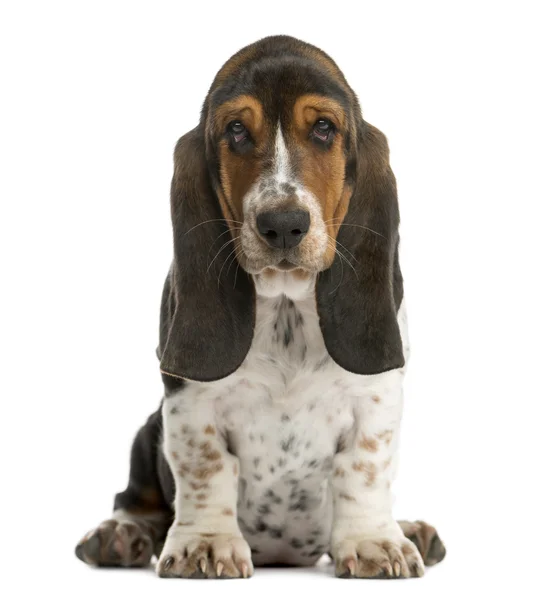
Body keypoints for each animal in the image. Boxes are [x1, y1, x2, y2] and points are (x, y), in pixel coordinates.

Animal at [76, 35, 448, 580]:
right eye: (235, 130)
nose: (284, 225)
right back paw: (119, 534)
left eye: (323, 128)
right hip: (148, 430)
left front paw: (373, 542)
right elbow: (205, 468)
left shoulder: (376, 399)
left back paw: (412, 529)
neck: (286, 304)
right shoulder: (189, 404)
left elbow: (363, 469)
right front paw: (206, 545)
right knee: (135, 496)